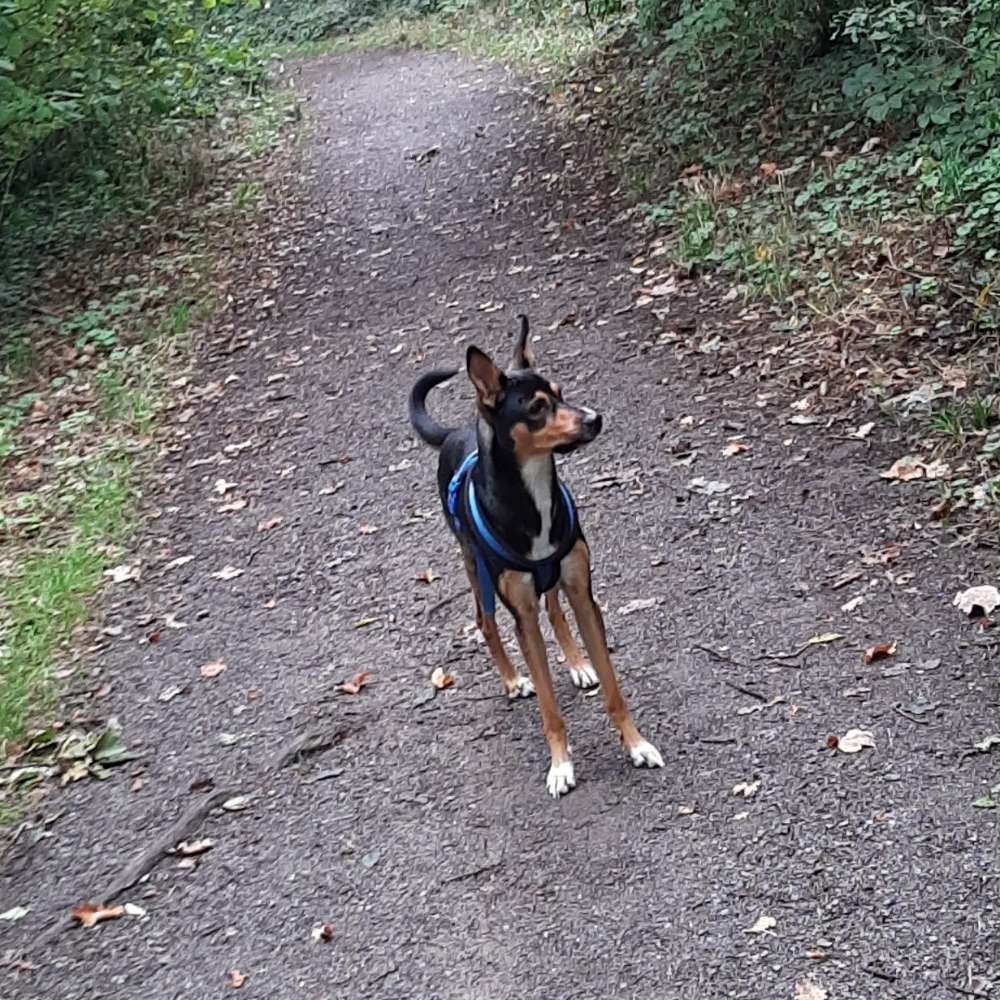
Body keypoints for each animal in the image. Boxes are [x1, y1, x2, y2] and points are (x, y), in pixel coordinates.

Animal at [408, 316, 664, 800]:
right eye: (537, 408)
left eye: (561, 393)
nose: (595, 418)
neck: (534, 495)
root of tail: (454, 433)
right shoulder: (522, 618)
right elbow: (549, 707)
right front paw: (561, 766)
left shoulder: (583, 594)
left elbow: (613, 688)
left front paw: (636, 744)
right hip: (477, 573)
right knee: (485, 621)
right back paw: (512, 680)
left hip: (554, 580)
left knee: (554, 608)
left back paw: (577, 664)